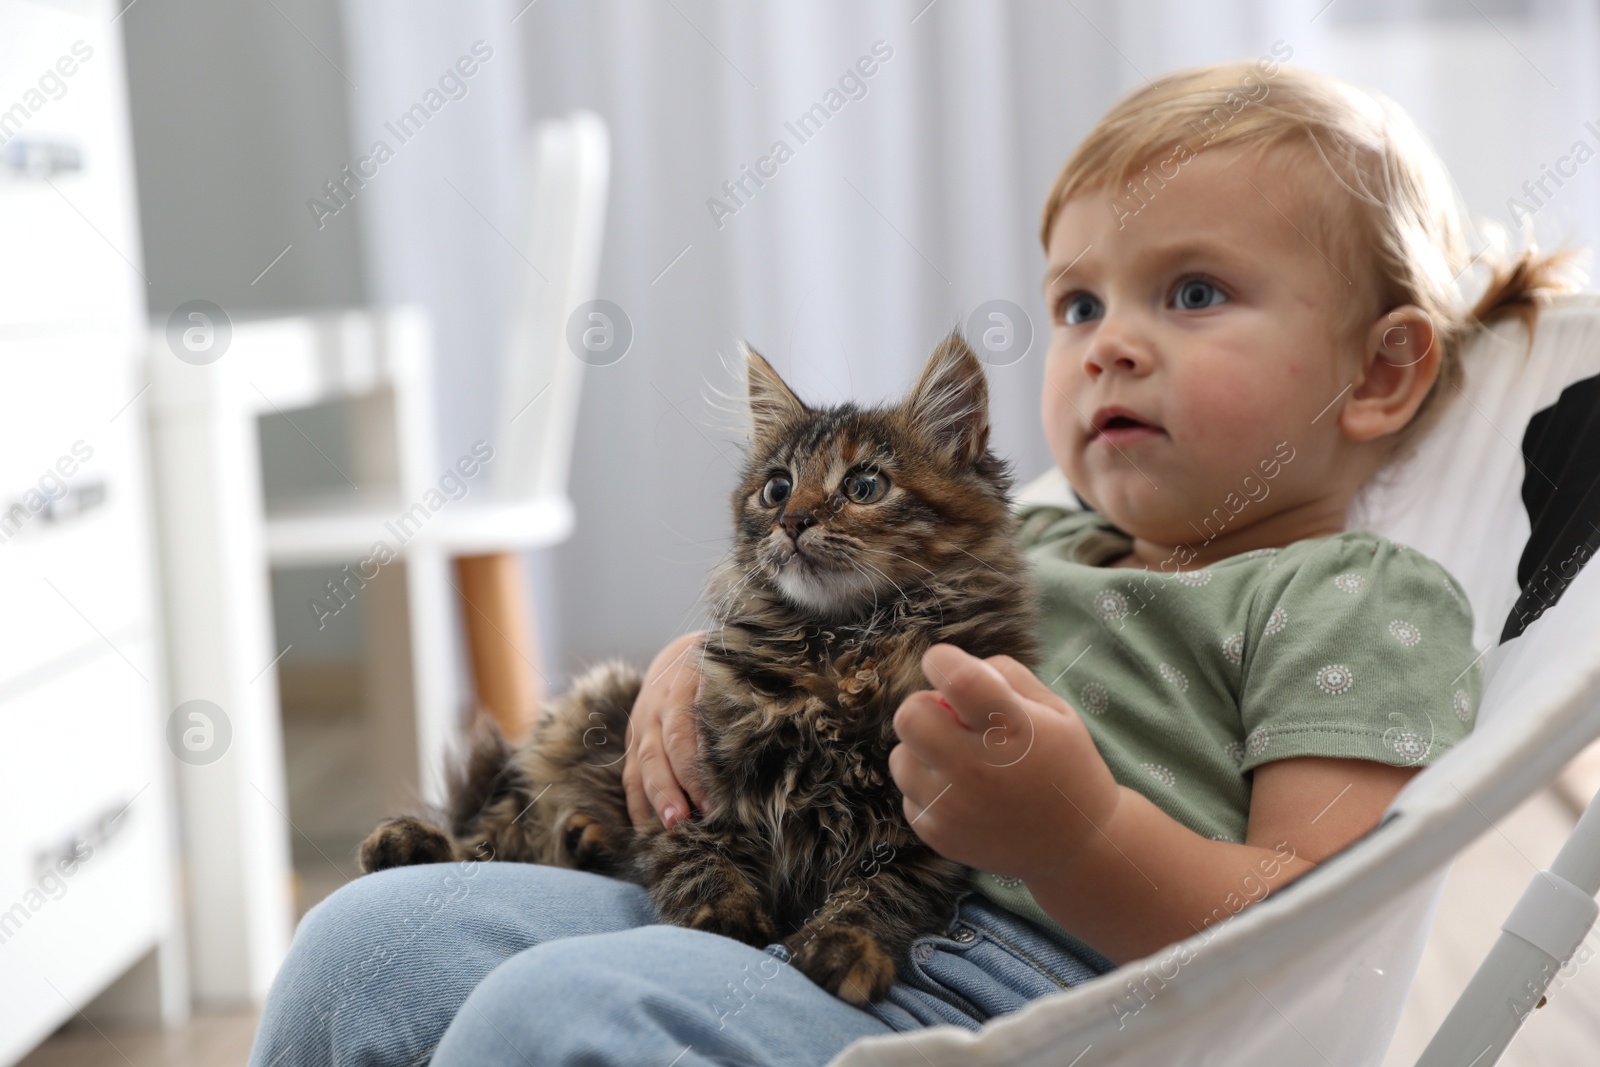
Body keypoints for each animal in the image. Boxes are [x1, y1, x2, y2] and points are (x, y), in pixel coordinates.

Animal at [356, 329, 1043, 1004]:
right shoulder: (693, 790)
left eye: (864, 486)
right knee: (496, 830)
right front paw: (726, 922)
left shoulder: (928, 827)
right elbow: (698, 862)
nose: (793, 521)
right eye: (776, 488)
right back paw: (417, 841)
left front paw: (844, 945)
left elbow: (881, 897)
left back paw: (584, 839)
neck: (841, 649)